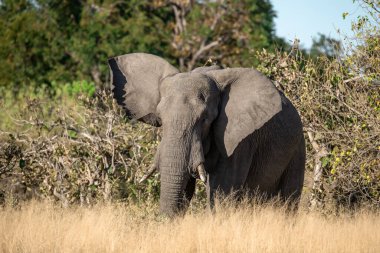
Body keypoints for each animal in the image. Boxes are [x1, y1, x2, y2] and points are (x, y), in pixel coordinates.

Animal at [107, 52, 306, 216]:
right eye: (161, 118)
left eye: (204, 120)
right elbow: (185, 188)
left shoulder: (241, 141)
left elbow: (222, 192)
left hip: (298, 148)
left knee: (288, 200)